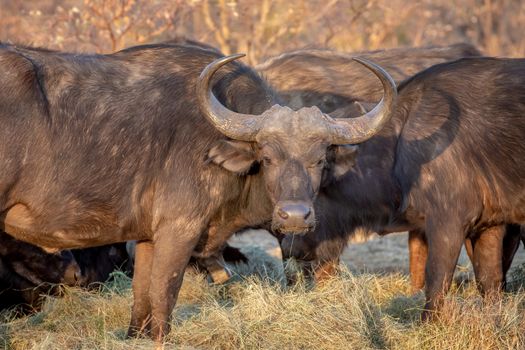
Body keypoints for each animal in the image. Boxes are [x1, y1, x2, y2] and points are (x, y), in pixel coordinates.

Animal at [0, 42, 392, 340]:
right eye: (267, 157)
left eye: (320, 159)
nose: (295, 216)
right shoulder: (180, 229)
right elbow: (164, 295)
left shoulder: (147, 237)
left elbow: (142, 299)